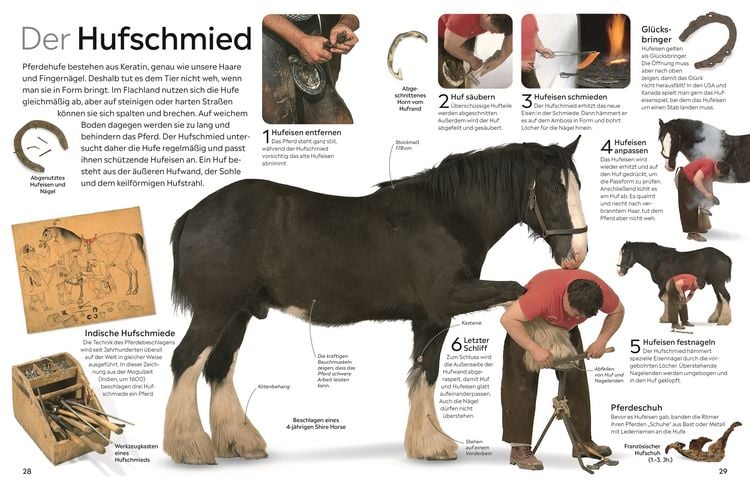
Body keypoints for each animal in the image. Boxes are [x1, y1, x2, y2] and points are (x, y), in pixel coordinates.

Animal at [165, 138, 589, 464]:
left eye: (578, 186)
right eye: (555, 189)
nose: (577, 254)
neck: (447, 217)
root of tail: (194, 212)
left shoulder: (430, 320)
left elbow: (425, 371)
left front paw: (429, 444)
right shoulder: (447, 301)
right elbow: (517, 289)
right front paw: (554, 346)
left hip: (238, 314)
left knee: (219, 367)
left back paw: (240, 443)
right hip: (215, 310)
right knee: (186, 360)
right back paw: (190, 447)